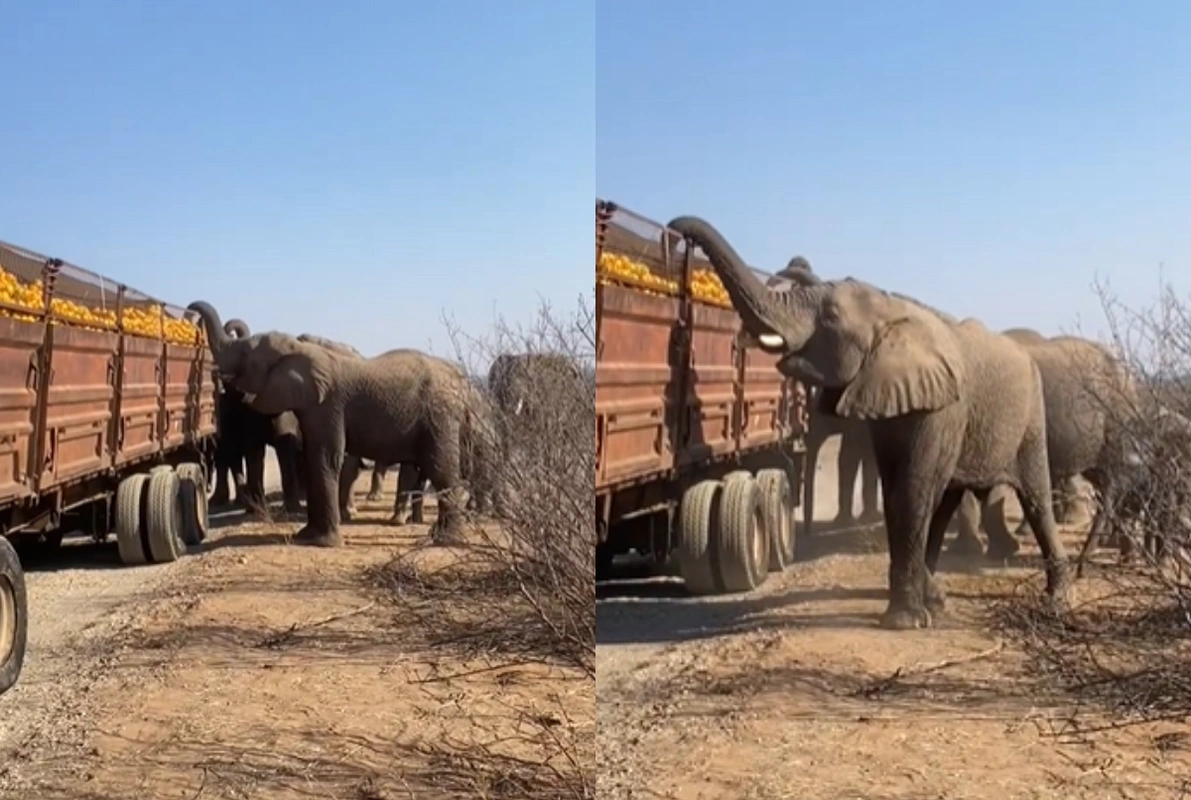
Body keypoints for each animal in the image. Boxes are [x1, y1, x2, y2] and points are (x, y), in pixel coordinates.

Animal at [186, 303, 493, 547]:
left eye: (247, 355)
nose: (191, 311)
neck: (302, 349)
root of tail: (463, 385)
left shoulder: (328, 406)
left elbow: (325, 458)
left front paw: (323, 543)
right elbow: (313, 458)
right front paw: (305, 536)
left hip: (439, 418)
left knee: (440, 470)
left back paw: (445, 539)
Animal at [671, 215, 1071, 628]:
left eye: (831, 318)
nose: (676, 228)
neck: (892, 308)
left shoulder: (942, 407)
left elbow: (912, 491)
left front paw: (904, 622)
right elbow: (898, 490)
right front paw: (916, 610)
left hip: (1031, 416)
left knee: (1034, 497)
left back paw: (1056, 600)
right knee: (946, 499)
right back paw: (938, 598)